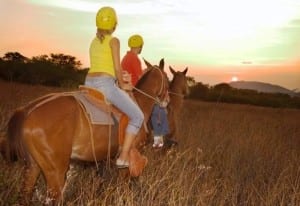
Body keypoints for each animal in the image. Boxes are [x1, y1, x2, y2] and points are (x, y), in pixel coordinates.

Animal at [4, 58, 168, 205]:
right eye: (167, 78)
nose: (166, 101)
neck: (140, 103)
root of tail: (27, 110)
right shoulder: (128, 161)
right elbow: (123, 186)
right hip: (55, 172)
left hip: (33, 166)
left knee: (25, 196)